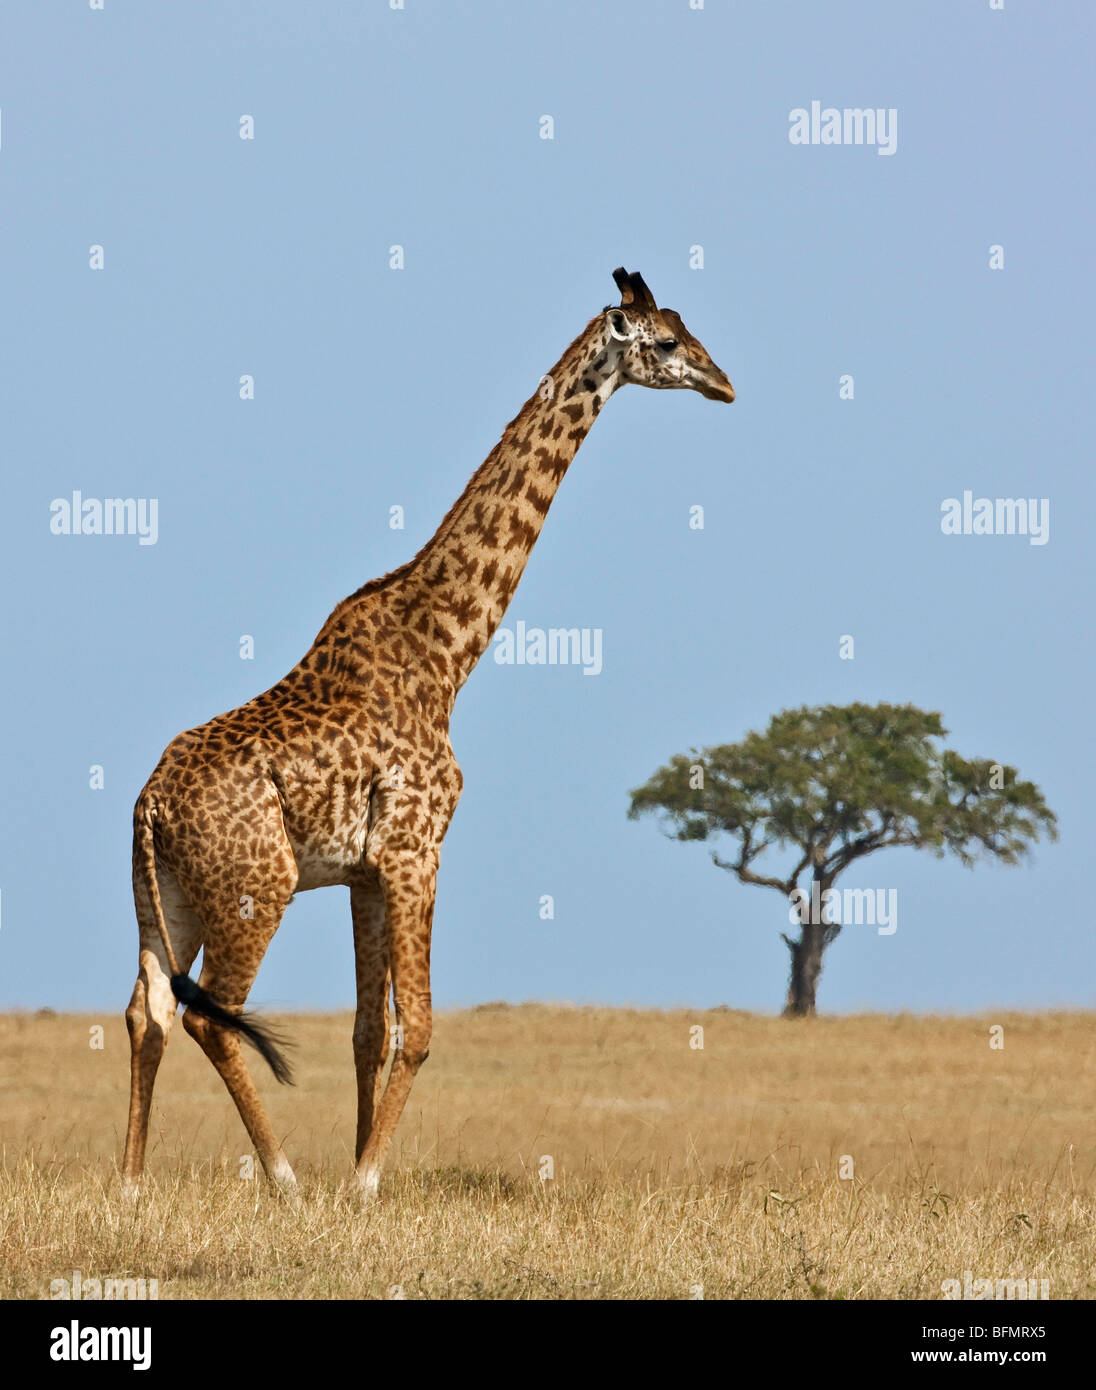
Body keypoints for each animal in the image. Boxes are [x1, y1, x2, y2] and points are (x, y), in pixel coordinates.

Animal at [122, 267, 734, 1198]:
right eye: (667, 343)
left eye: (688, 330)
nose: (724, 383)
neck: (447, 653)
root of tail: (148, 806)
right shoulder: (417, 849)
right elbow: (420, 1025)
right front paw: (363, 1183)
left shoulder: (365, 872)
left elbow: (369, 1030)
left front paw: (360, 1167)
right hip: (256, 887)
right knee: (215, 1017)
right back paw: (284, 1178)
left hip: (169, 897)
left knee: (146, 1009)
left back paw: (130, 1181)